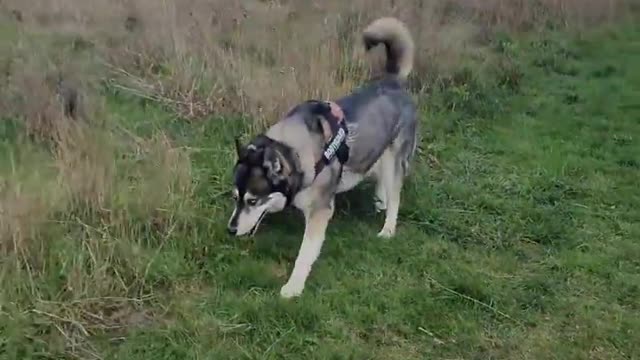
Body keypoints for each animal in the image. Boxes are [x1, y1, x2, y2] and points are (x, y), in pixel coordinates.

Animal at [228, 16, 418, 298]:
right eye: (235, 198)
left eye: (252, 200)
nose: (230, 230)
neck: (294, 149)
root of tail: (392, 81)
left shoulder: (320, 212)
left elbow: (305, 253)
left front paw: (293, 287)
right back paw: (379, 199)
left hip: (395, 157)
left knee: (395, 194)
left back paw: (388, 227)